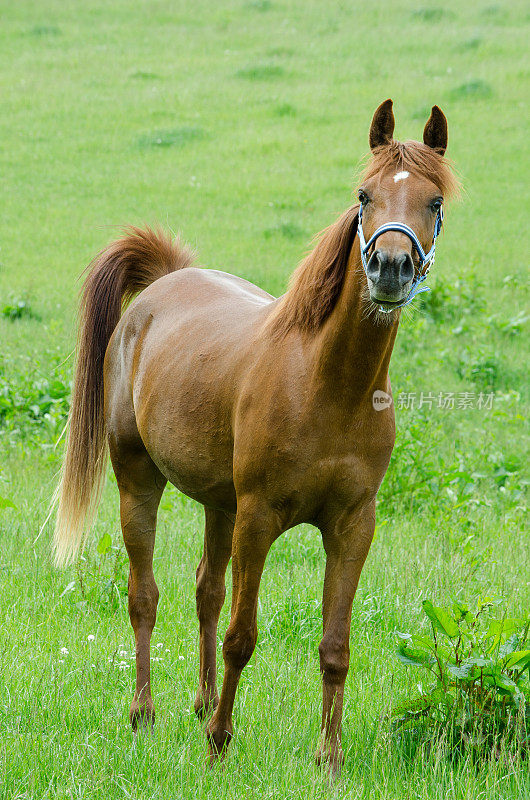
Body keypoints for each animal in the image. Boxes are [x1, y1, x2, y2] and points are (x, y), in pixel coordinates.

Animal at [54, 97, 458, 772]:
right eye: (364, 195)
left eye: (433, 201)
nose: (390, 268)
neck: (328, 387)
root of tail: (164, 284)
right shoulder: (260, 516)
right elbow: (242, 635)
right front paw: (220, 741)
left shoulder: (353, 526)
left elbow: (334, 643)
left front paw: (329, 756)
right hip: (140, 482)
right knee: (145, 595)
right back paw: (145, 713)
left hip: (221, 506)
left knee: (205, 591)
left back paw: (199, 703)